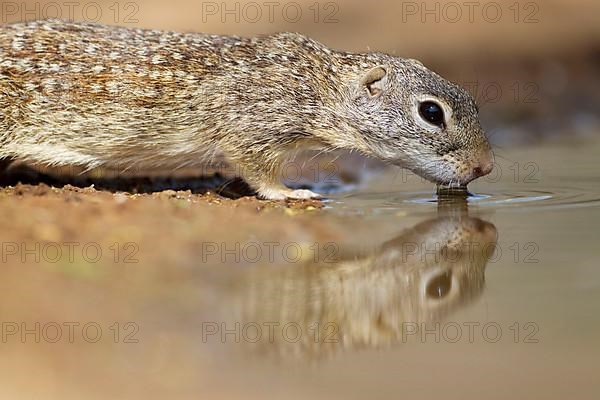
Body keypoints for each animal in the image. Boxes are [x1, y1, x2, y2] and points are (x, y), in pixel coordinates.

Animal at [1, 19, 492, 200]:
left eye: (472, 101)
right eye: (431, 113)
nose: (485, 167)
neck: (317, 82)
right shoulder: (253, 127)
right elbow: (258, 172)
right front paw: (292, 193)